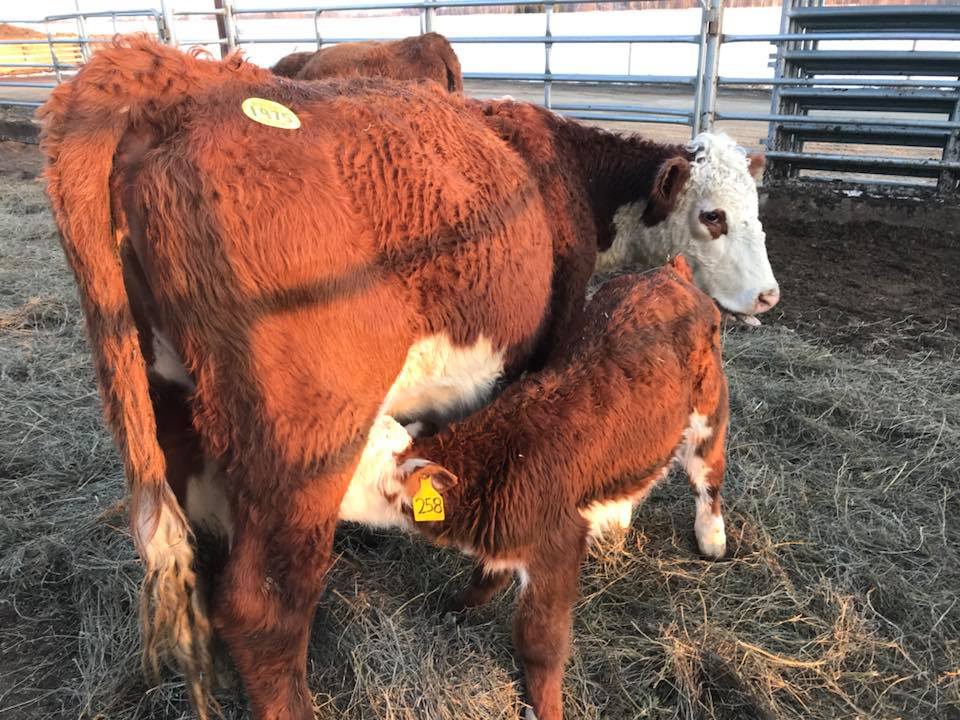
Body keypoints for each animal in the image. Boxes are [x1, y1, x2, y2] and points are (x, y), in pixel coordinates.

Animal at [339, 256, 729, 720]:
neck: (500, 462)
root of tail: (668, 272)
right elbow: (484, 578)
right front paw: (454, 608)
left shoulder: (556, 547)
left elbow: (538, 643)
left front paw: (544, 707)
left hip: (709, 405)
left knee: (709, 472)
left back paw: (712, 537)